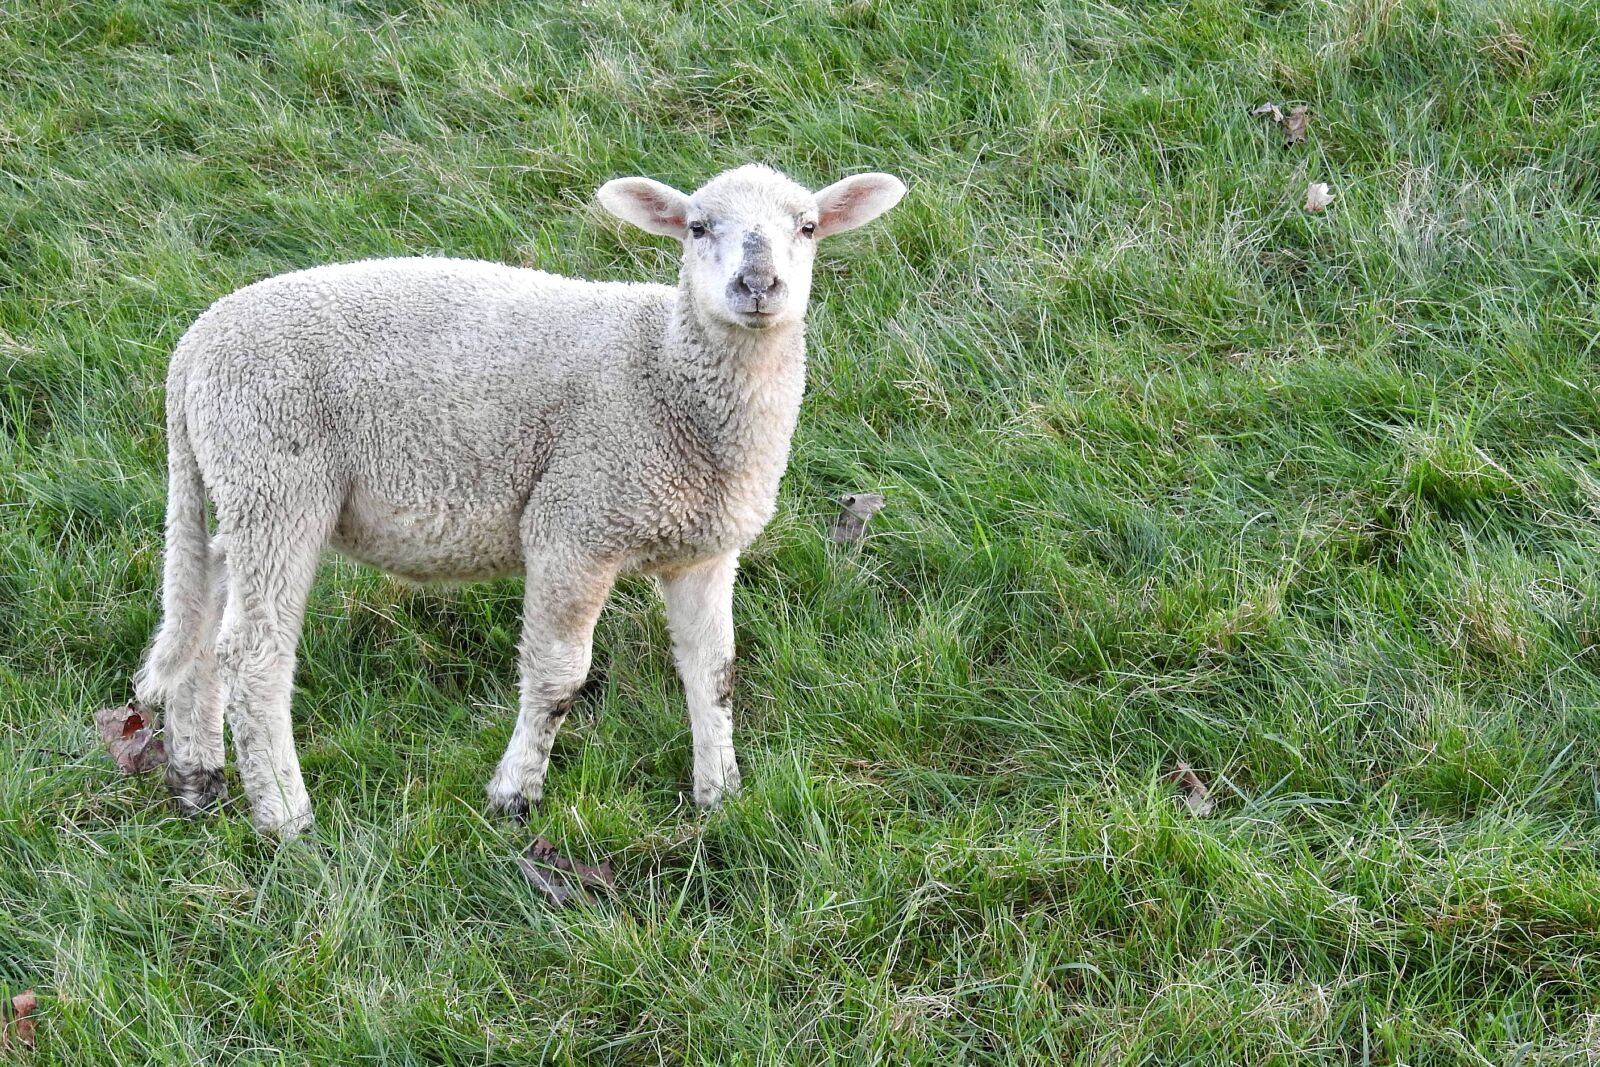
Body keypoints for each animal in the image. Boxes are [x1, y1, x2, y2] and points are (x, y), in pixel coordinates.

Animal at [131, 164, 906, 836]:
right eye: (696, 227)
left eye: (808, 227)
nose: (758, 283)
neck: (667, 376)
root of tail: (193, 348)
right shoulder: (575, 522)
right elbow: (560, 676)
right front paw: (514, 795)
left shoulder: (704, 548)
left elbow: (714, 674)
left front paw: (719, 792)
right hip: (275, 471)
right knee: (253, 654)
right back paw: (286, 818)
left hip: (236, 483)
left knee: (202, 610)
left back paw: (198, 777)